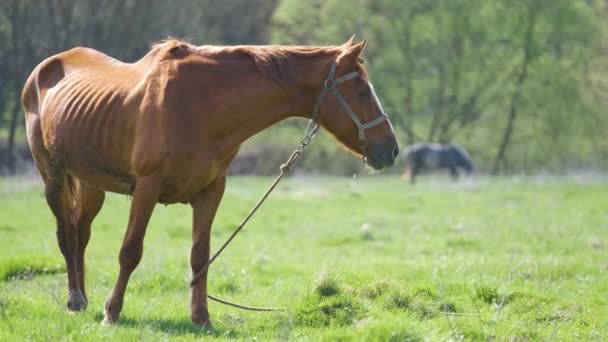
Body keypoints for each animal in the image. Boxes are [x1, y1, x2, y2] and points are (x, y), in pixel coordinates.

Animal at [21, 36, 400, 326]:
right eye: (362, 91)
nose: (392, 149)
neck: (199, 105)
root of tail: (46, 67)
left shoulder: (210, 192)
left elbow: (199, 257)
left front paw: (201, 318)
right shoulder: (146, 189)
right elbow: (130, 252)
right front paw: (111, 313)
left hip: (92, 184)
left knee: (81, 235)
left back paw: (82, 297)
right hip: (53, 177)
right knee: (66, 235)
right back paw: (75, 299)